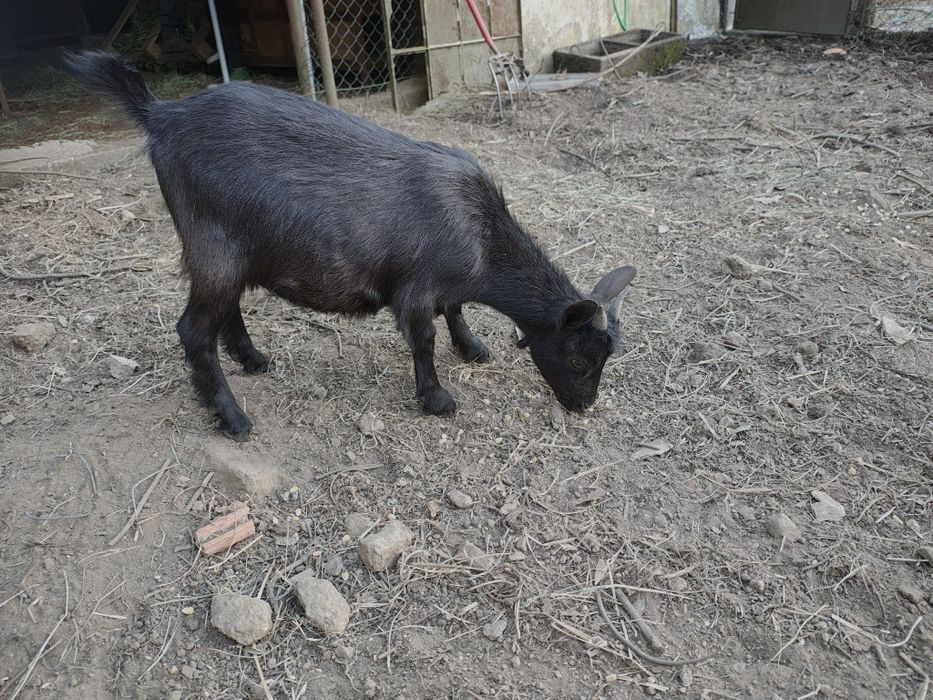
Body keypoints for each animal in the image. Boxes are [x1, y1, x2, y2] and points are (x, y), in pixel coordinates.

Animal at [64, 51, 636, 440]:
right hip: (213, 247)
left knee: (227, 312)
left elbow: (454, 310)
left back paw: (253, 359)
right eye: (579, 362)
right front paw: (436, 398)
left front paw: (472, 348)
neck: (481, 233)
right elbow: (424, 336)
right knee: (193, 330)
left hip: (235, 253)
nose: (583, 406)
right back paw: (232, 415)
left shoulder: (444, 283)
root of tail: (161, 115)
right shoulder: (414, 288)